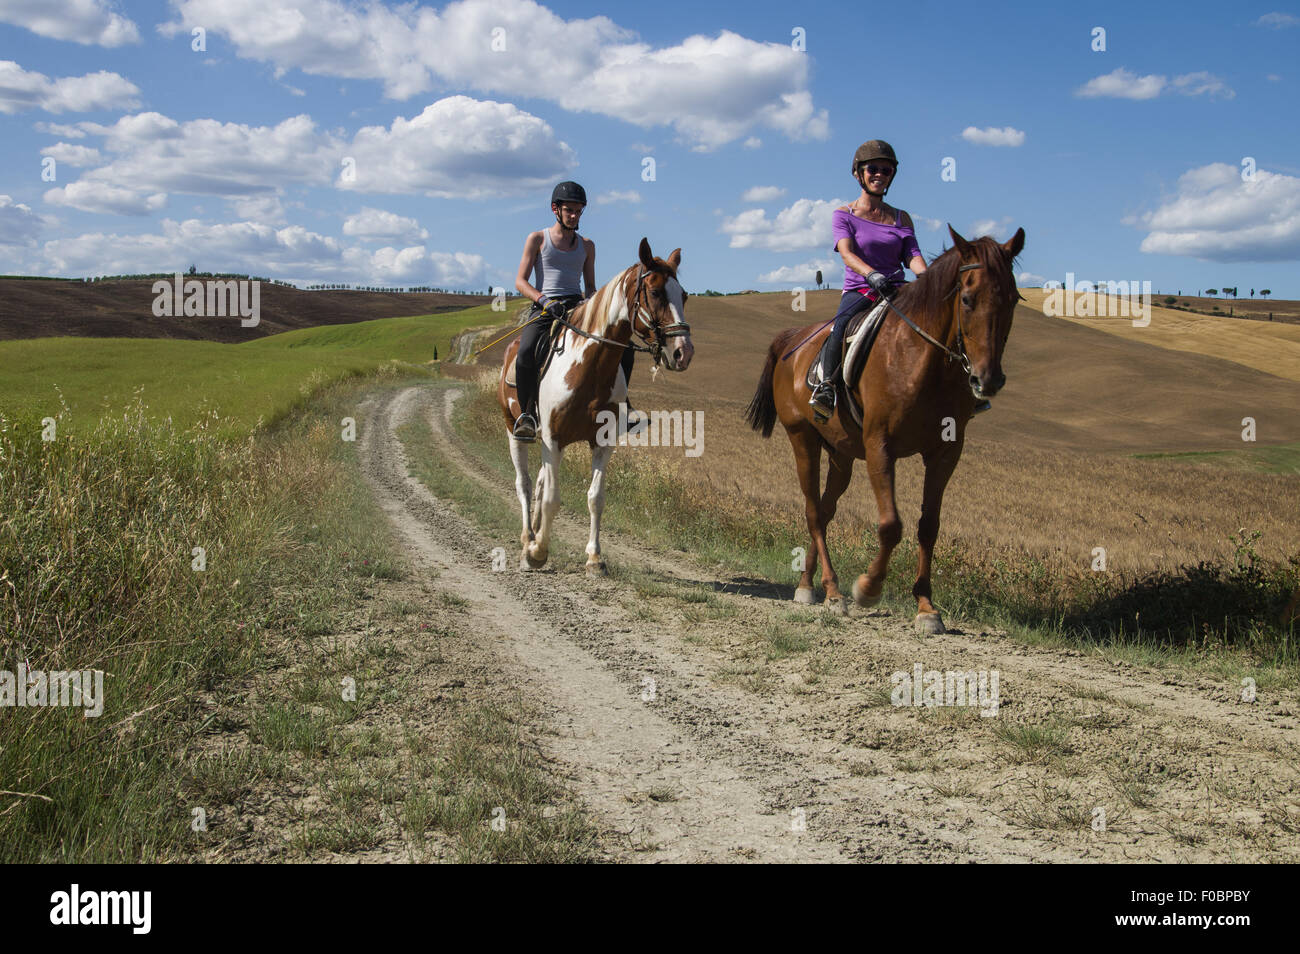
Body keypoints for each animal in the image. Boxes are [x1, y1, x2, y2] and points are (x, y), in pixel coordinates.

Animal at [498, 238, 694, 574]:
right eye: (655, 292)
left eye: (683, 295)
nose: (683, 352)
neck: (588, 367)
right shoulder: (553, 439)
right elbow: (552, 498)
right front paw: (538, 552)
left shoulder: (602, 442)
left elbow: (595, 498)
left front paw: (594, 557)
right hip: (515, 431)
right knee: (524, 483)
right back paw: (527, 541)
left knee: (539, 483)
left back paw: (535, 533)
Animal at [745, 226, 1025, 633]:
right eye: (967, 298)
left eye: (1014, 300)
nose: (987, 380)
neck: (922, 360)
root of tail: (791, 341)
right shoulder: (880, 444)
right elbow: (891, 525)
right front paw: (868, 588)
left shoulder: (946, 451)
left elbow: (929, 526)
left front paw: (926, 607)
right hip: (803, 440)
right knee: (813, 511)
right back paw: (833, 591)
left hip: (842, 455)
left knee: (825, 511)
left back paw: (809, 584)